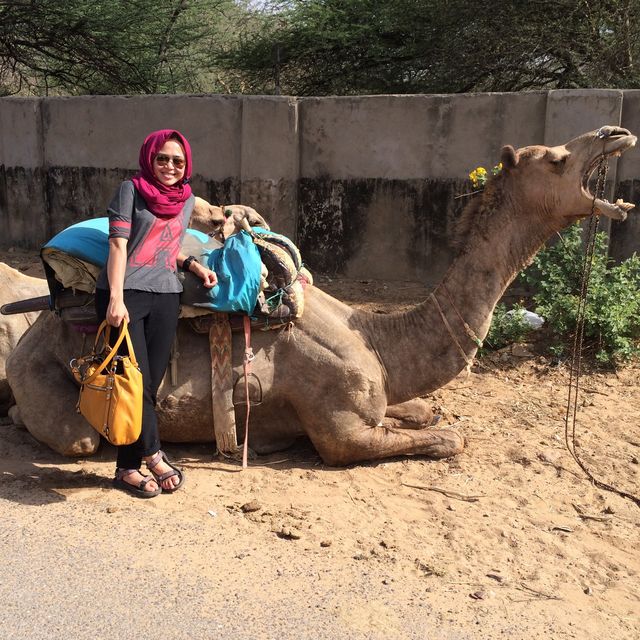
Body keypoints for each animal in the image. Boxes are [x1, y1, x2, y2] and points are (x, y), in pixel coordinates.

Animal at [3, 126, 636, 460]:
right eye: (556, 159)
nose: (616, 133)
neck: (378, 338)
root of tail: (31, 335)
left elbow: (421, 409)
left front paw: (423, 410)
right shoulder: (341, 430)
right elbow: (446, 438)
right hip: (55, 389)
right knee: (80, 439)